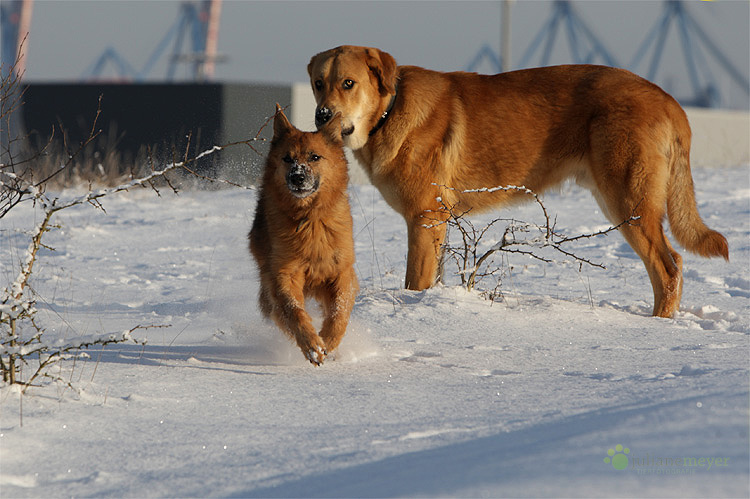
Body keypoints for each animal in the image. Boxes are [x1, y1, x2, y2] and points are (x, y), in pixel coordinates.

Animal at [250, 105, 358, 366]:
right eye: (287, 158)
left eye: (314, 157)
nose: (297, 177)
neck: (310, 219)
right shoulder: (284, 274)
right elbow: (294, 312)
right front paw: (312, 345)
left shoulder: (342, 272)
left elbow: (340, 311)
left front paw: (329, 341)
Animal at [310, 46, 728, 316]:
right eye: (317, 83)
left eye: (348, 83)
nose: (321, 116)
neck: (388, 112)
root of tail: (669, 99)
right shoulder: (437, 223)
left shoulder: (425, 218)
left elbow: (415, 282)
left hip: (628, 201)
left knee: (668, 267)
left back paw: (657, 326)